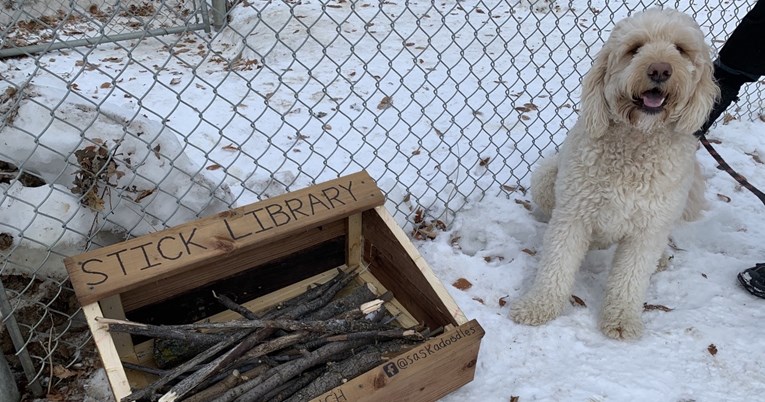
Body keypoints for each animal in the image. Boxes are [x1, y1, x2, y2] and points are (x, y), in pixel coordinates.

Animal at [510, 8, 720, 340]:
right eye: (635, 48)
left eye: (680, 49)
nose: (660, 70)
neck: (636, 144)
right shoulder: (573, 213)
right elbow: (556, 265)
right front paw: (538, 305)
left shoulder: (648, 229)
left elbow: (631, 279)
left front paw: (621, 318)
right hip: (546, 176)